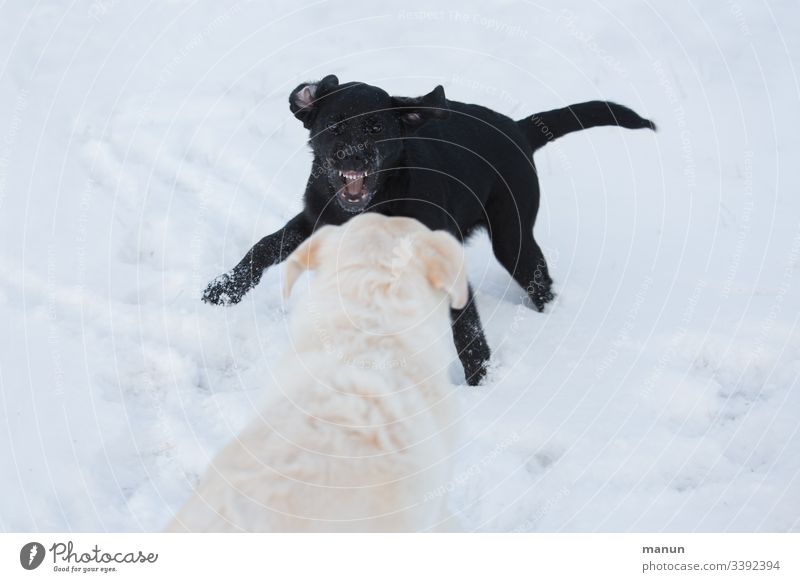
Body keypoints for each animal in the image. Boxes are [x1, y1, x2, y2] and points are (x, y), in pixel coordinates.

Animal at [202, 75, 656, 386]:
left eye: (376, 128)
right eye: (333, 124)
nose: (353, 157)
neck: (378, 198)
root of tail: (519, 128)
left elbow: (466, 324)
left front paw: (481, 378)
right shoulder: (315, 219)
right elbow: (264, 247)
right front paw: (223, 290)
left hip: (513, 238)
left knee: (539, 281)